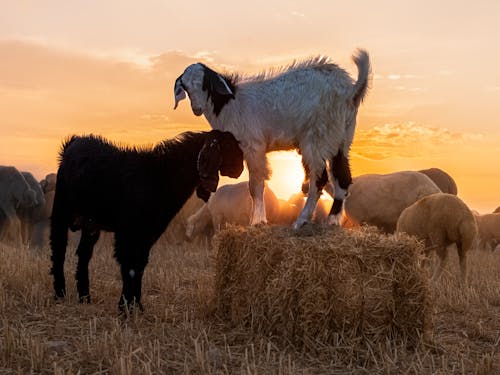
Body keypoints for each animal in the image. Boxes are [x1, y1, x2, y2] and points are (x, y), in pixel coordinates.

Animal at [50, 130, 244, 312]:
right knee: (58, 248)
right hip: (61, 209)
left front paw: (137, 306)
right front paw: (125, 307)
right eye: (227, 146)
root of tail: (74, 142)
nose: (240, 169)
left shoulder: (149, 231)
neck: (159, 176)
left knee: (84, 254)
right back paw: (60, 293)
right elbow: (129, 267)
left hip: (90, 223)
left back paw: (85, 297)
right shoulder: (127, 230)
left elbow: (140, 266)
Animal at [174, 47, 370, 229]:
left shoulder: (253, 146)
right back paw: (332, 221)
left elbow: (255, 186)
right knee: (342, 178)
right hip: (342, 138)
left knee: (320, 179)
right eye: (185, 87)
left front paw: (257, 221)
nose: (197, 108)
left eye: (205, 84)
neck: (229, 103)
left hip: (317, 138)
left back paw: (301, 221)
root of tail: (350, 90)